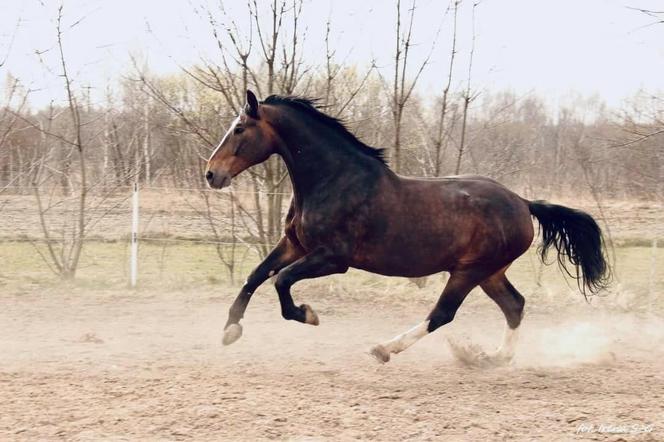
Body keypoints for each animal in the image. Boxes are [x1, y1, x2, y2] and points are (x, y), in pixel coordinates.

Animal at [205, 89, 608, 362]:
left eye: (239, 128)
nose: (211, 174)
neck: (333, 180)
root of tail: (523, 204)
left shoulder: (333, 258)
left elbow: (281, 281)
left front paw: (308, 314)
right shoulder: (295, 245)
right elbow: (255, 276)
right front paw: (229, 331)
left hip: (470, 271)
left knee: (443, 314)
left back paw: (385, 349)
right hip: (490, 272)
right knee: (515, 306)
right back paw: (490, 358)